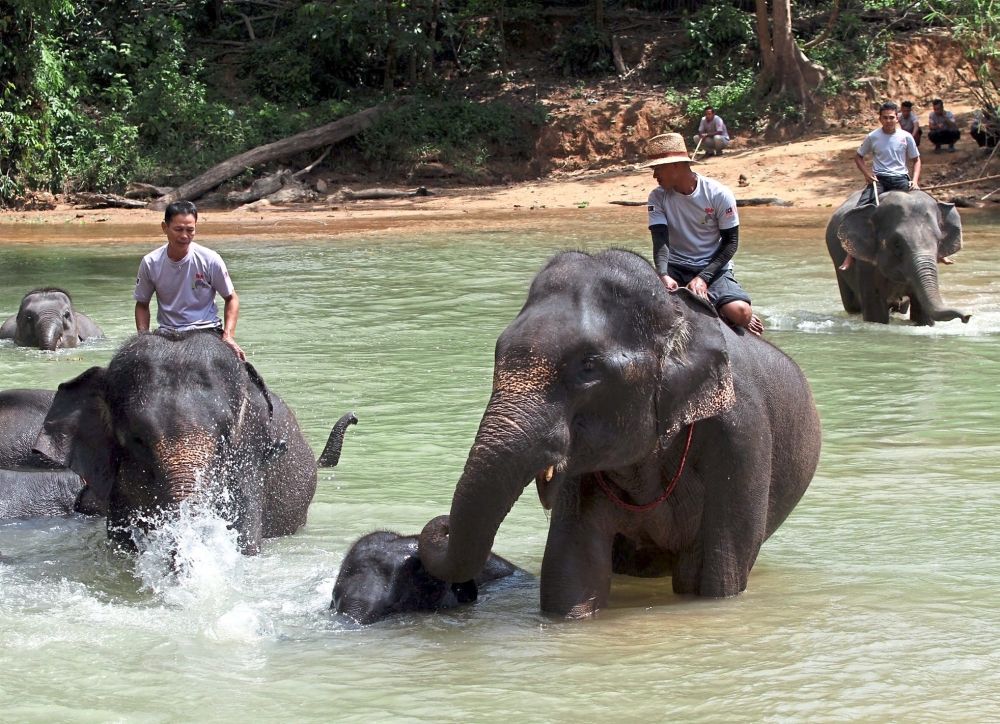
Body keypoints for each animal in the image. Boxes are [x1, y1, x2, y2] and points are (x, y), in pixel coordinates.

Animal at [828, 189, 968, 326]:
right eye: (897, 243)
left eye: (938, 241)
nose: (967, 316)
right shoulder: (865, 265)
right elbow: (876, 311)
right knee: (851, 305)